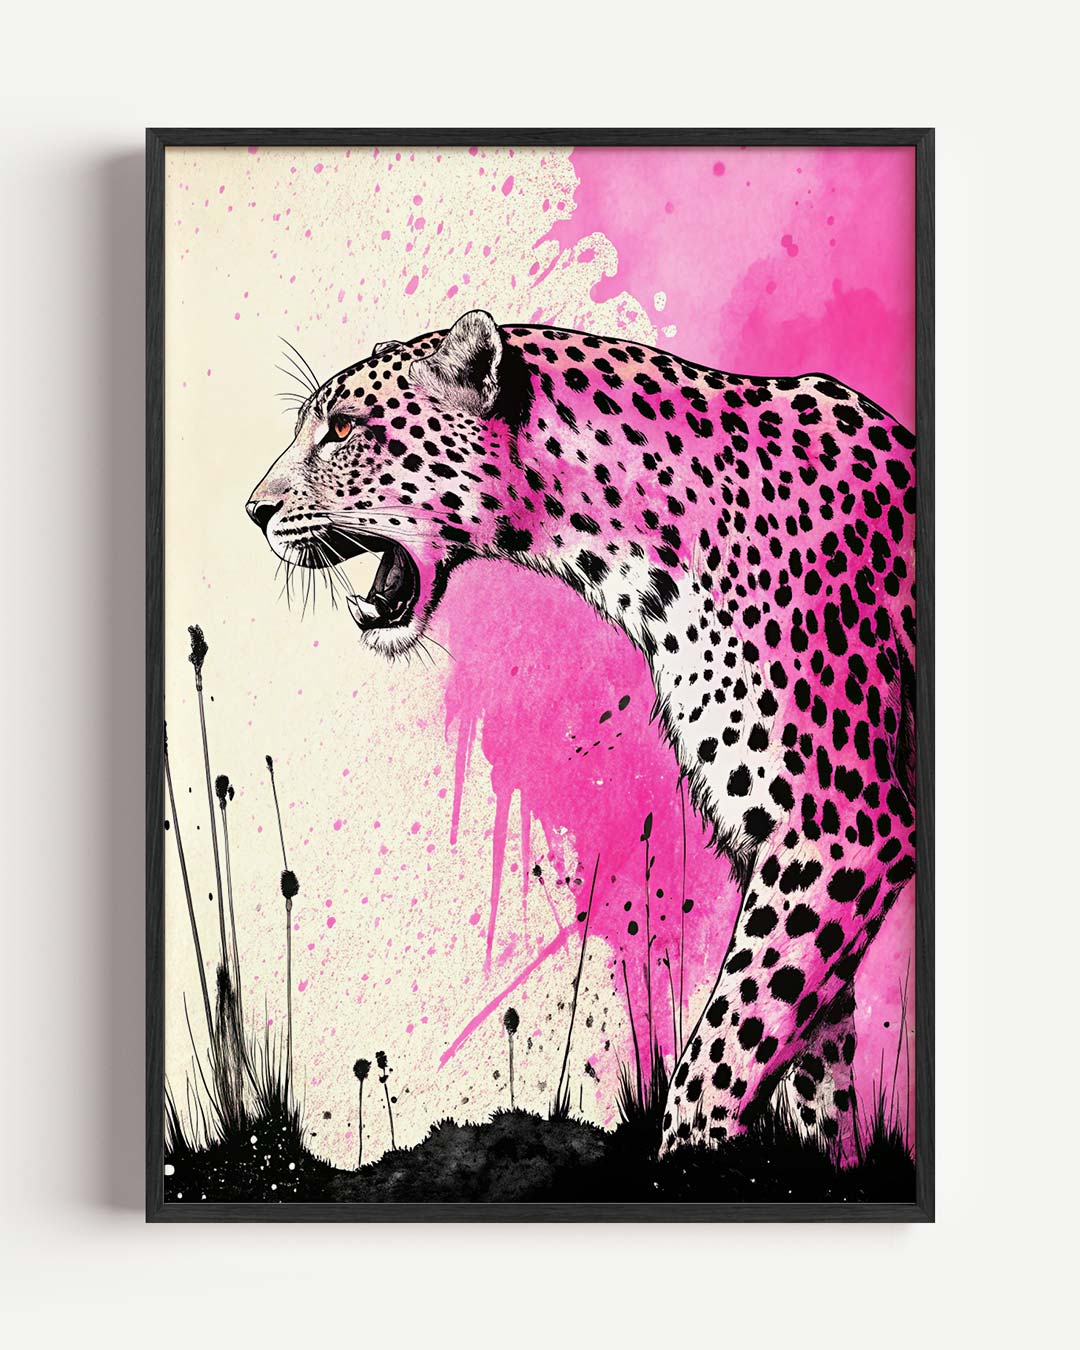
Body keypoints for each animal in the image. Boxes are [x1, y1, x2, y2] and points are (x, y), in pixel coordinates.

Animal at [248, 309, 917, 1157]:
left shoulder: (840, 832)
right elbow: (809, 1054)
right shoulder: (785, 846)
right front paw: (825, 1159)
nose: (253, 510)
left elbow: (724, 1048)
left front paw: (686, 1161)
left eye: (341, 428)